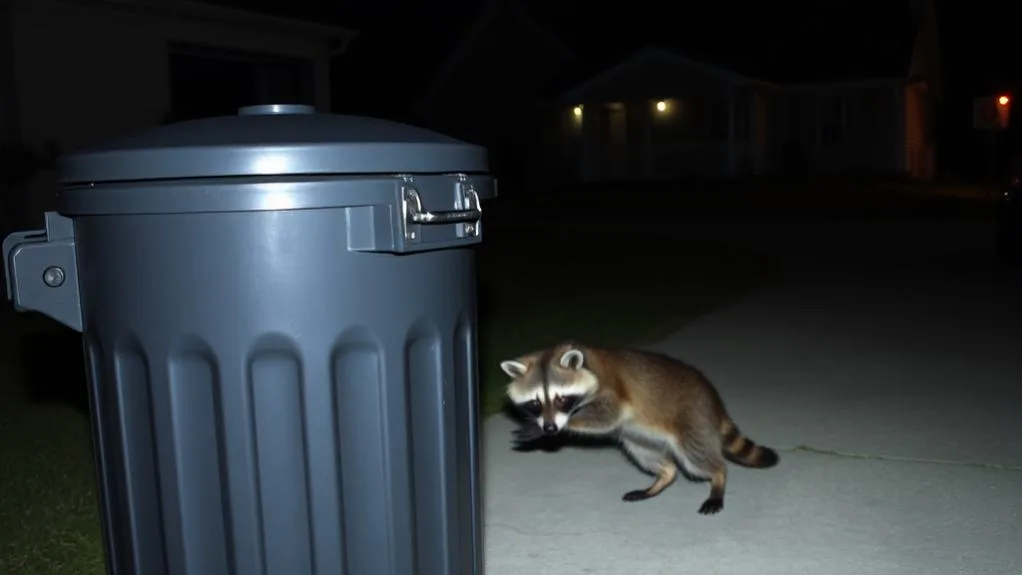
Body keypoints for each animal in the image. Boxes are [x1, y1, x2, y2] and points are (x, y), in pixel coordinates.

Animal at [501, 341, 779, 515]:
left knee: (699, 457)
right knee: (654, 459)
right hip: (638, 438)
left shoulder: (612, 389)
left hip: (693, 420)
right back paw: (662, 478)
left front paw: (552, 427)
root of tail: (715, 401)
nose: (549, 428)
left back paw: (718, 478)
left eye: (561, 400)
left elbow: (609, 416)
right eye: (535, 403)